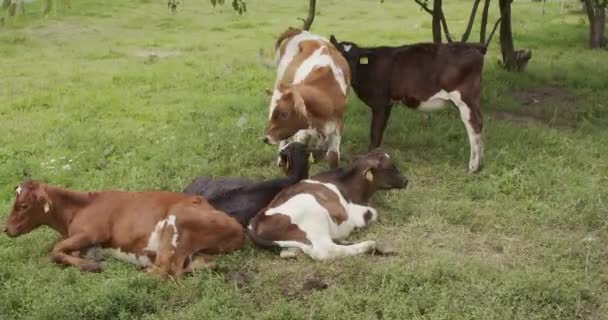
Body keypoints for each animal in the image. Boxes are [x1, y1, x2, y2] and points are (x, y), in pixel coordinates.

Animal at [2, 180, 245, 278]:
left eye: (23, 205)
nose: (5, 229)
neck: (78, 209)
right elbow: (53, 250)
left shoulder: (93, 233)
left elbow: (55, 250)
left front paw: (90, 266)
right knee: (205, 264)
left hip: (175, 227)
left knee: (165, 271)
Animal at [247, 149, 408, 260]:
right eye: (391, 167)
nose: (406, 180)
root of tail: (257, 219)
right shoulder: (356, 214)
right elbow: (374, 212)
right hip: (315, 219)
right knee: (326, 251)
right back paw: (371, 245)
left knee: (289, 252)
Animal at [262, 26, 352, 170]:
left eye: (284, 114)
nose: (265, 138)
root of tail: (300, 31)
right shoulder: (302, 133)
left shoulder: (337, 128)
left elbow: (333, 158)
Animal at [330, 35, 486, 174]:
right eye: (339, 57)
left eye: (356, 59)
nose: (348, 74)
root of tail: (474, 46)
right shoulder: (388, 104)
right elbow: (380, 131)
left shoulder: (380, 102)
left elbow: (375, 132)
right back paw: (480, 164)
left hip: (464, 97)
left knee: (474, 125)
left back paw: (472, 168)